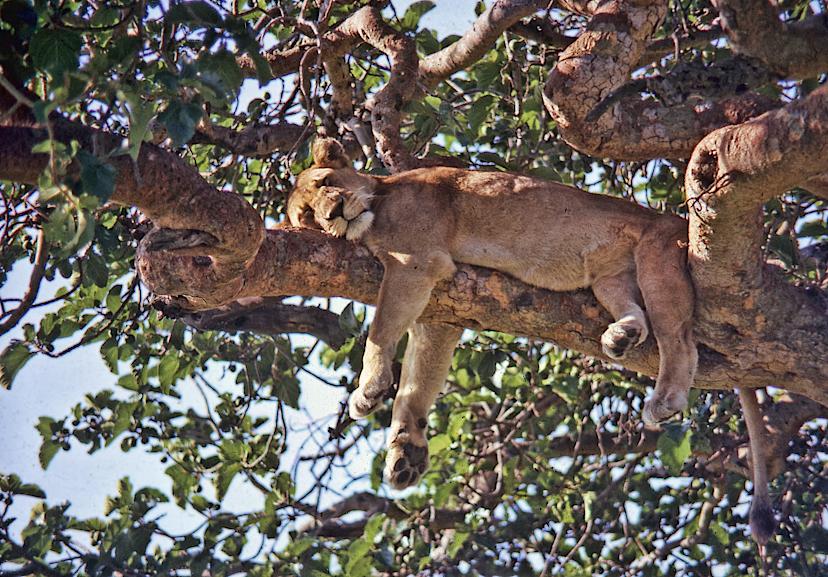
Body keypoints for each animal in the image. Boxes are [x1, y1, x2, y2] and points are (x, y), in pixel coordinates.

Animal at [287, 138, 698, 490]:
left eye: (326, 182)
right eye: (307, 216)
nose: (333, 213)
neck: (380, 197)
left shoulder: (415, 262)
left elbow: (379, 332)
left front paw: (368, 389)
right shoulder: (437, 314)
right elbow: (416, 382)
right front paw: (407, 449)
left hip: (657, 254)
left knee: (680, 341)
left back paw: (665, 400)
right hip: (609, 280)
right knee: (635, 312)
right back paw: (621, 335)